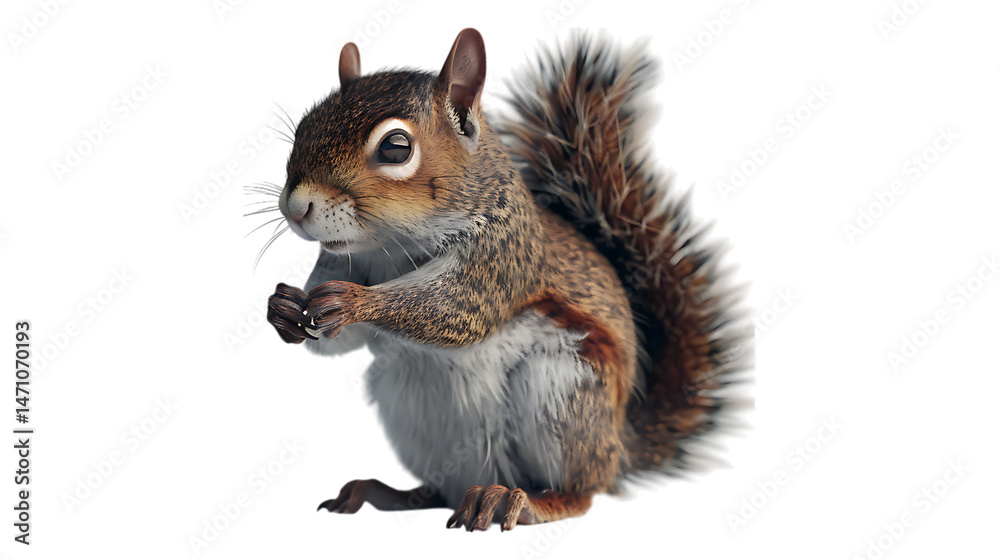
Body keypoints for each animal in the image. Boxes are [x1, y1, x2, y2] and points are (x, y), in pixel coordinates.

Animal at [263, 28, 751, 531]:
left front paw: (356, 302)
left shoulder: (503, 255)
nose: (295, 207)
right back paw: (385, 492)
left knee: (582, 491)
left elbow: (458, 309)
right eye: (302, 128)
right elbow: (339, 342)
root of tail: (618, 449)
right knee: (438, 491)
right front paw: (284, 308)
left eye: (396, 147)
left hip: (566, 397)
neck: (389, 248)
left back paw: (522, 500)